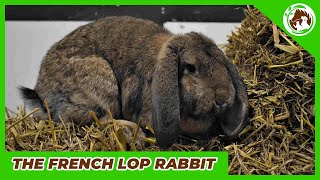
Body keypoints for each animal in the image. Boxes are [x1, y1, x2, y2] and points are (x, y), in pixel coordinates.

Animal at [20, 16, 250, 149]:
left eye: (222, 63)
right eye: (191, 68)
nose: (223, 98)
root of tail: (42, 93)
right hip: (101, 85)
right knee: (99, 119)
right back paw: (133, 135)